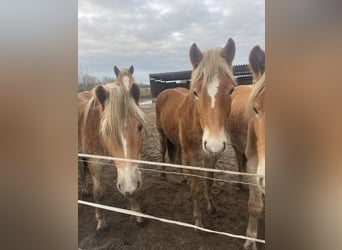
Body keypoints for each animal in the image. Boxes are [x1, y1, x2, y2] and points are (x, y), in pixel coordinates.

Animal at [78, 81, 146, 231]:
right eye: (107, 131)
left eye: (139, 127)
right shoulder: (95, 161)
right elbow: (98, 192)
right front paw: (101, 221)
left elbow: (130, 188)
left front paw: (137, 212)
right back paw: (84, 189)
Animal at [156, 38, 238, 227]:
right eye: (195, 92)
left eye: (231, 90)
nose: (214, 144)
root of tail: (166, 90)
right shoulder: (192, 159)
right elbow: (195, 190)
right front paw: (198, 222)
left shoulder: (211, 157)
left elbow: (208, 182)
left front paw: (211, 209)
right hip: (162, 134)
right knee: (163, 152)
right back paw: (163, 173)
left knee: (177, 157)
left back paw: (181, 178)